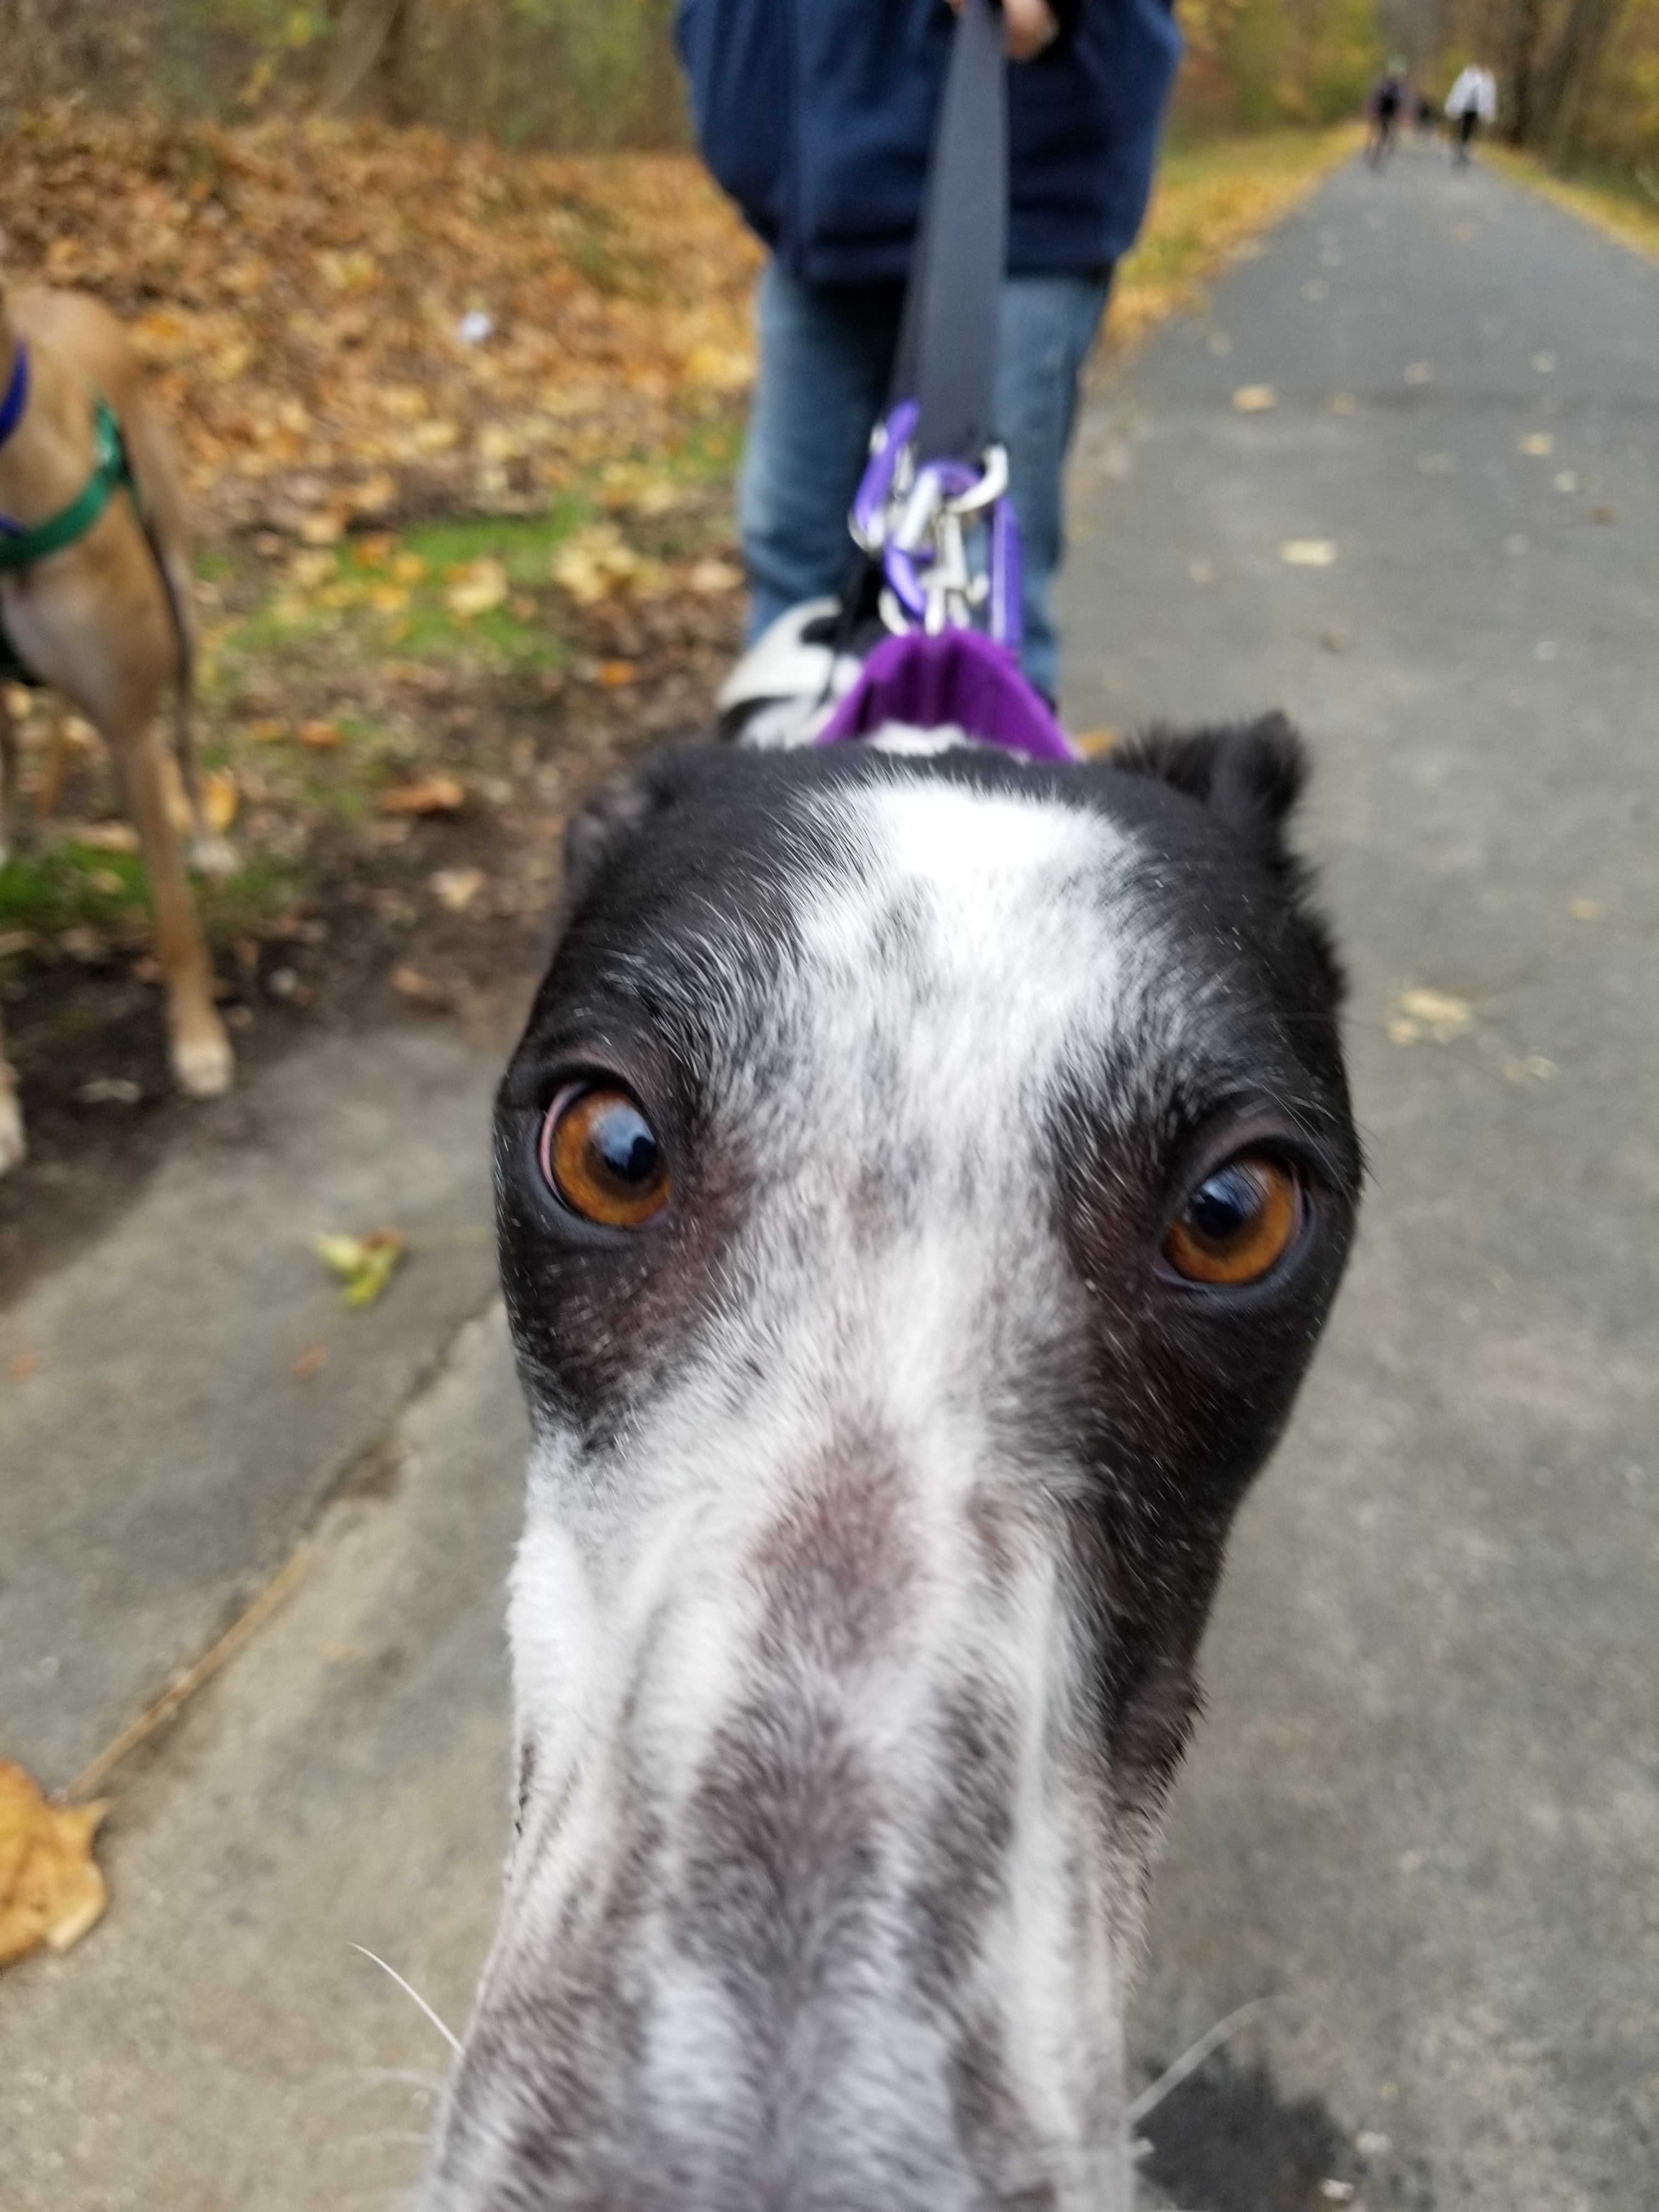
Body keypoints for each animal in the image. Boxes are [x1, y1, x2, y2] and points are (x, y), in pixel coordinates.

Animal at [0, 285, 235, 1177]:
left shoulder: (129, 725)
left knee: (188, 741)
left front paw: (199, 1042)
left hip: (182, 609)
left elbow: (173, 920)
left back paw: (208, 842)